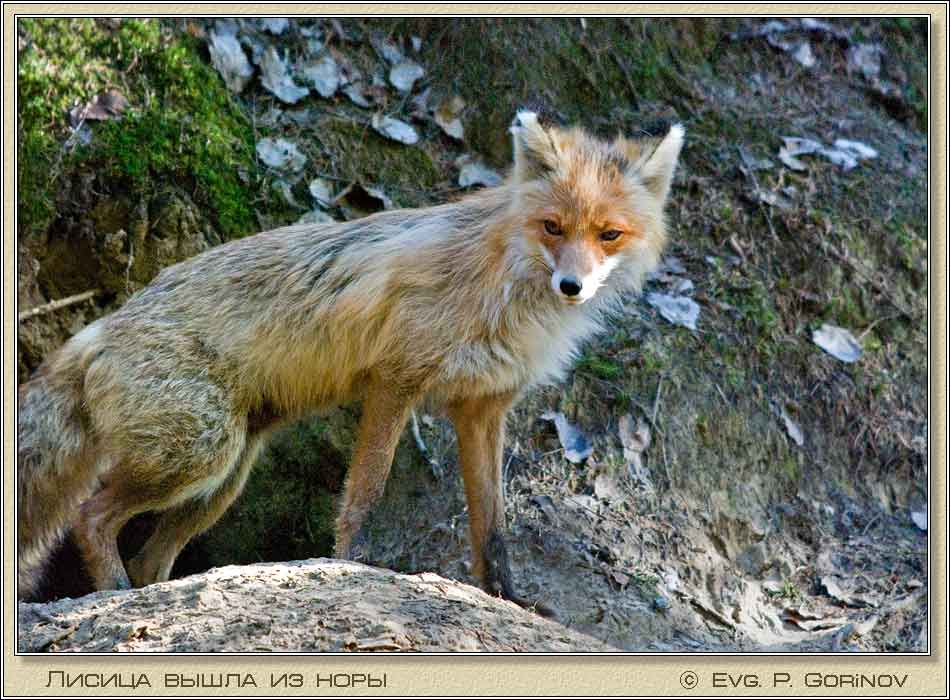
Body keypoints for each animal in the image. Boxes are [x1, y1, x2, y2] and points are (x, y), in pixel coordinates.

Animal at [17, 111, 684, 613]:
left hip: (222, 477)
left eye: (608, 234)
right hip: (198, 454)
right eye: (552, 227)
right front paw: (348, 567)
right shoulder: (397, 380)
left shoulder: (483, 407)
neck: (505, 292)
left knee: (149, 558)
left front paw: (508, 600)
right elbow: (365, 491)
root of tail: (99, 327)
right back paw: (108, 591)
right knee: (90, 516)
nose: (573, 286)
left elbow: (492, 528)